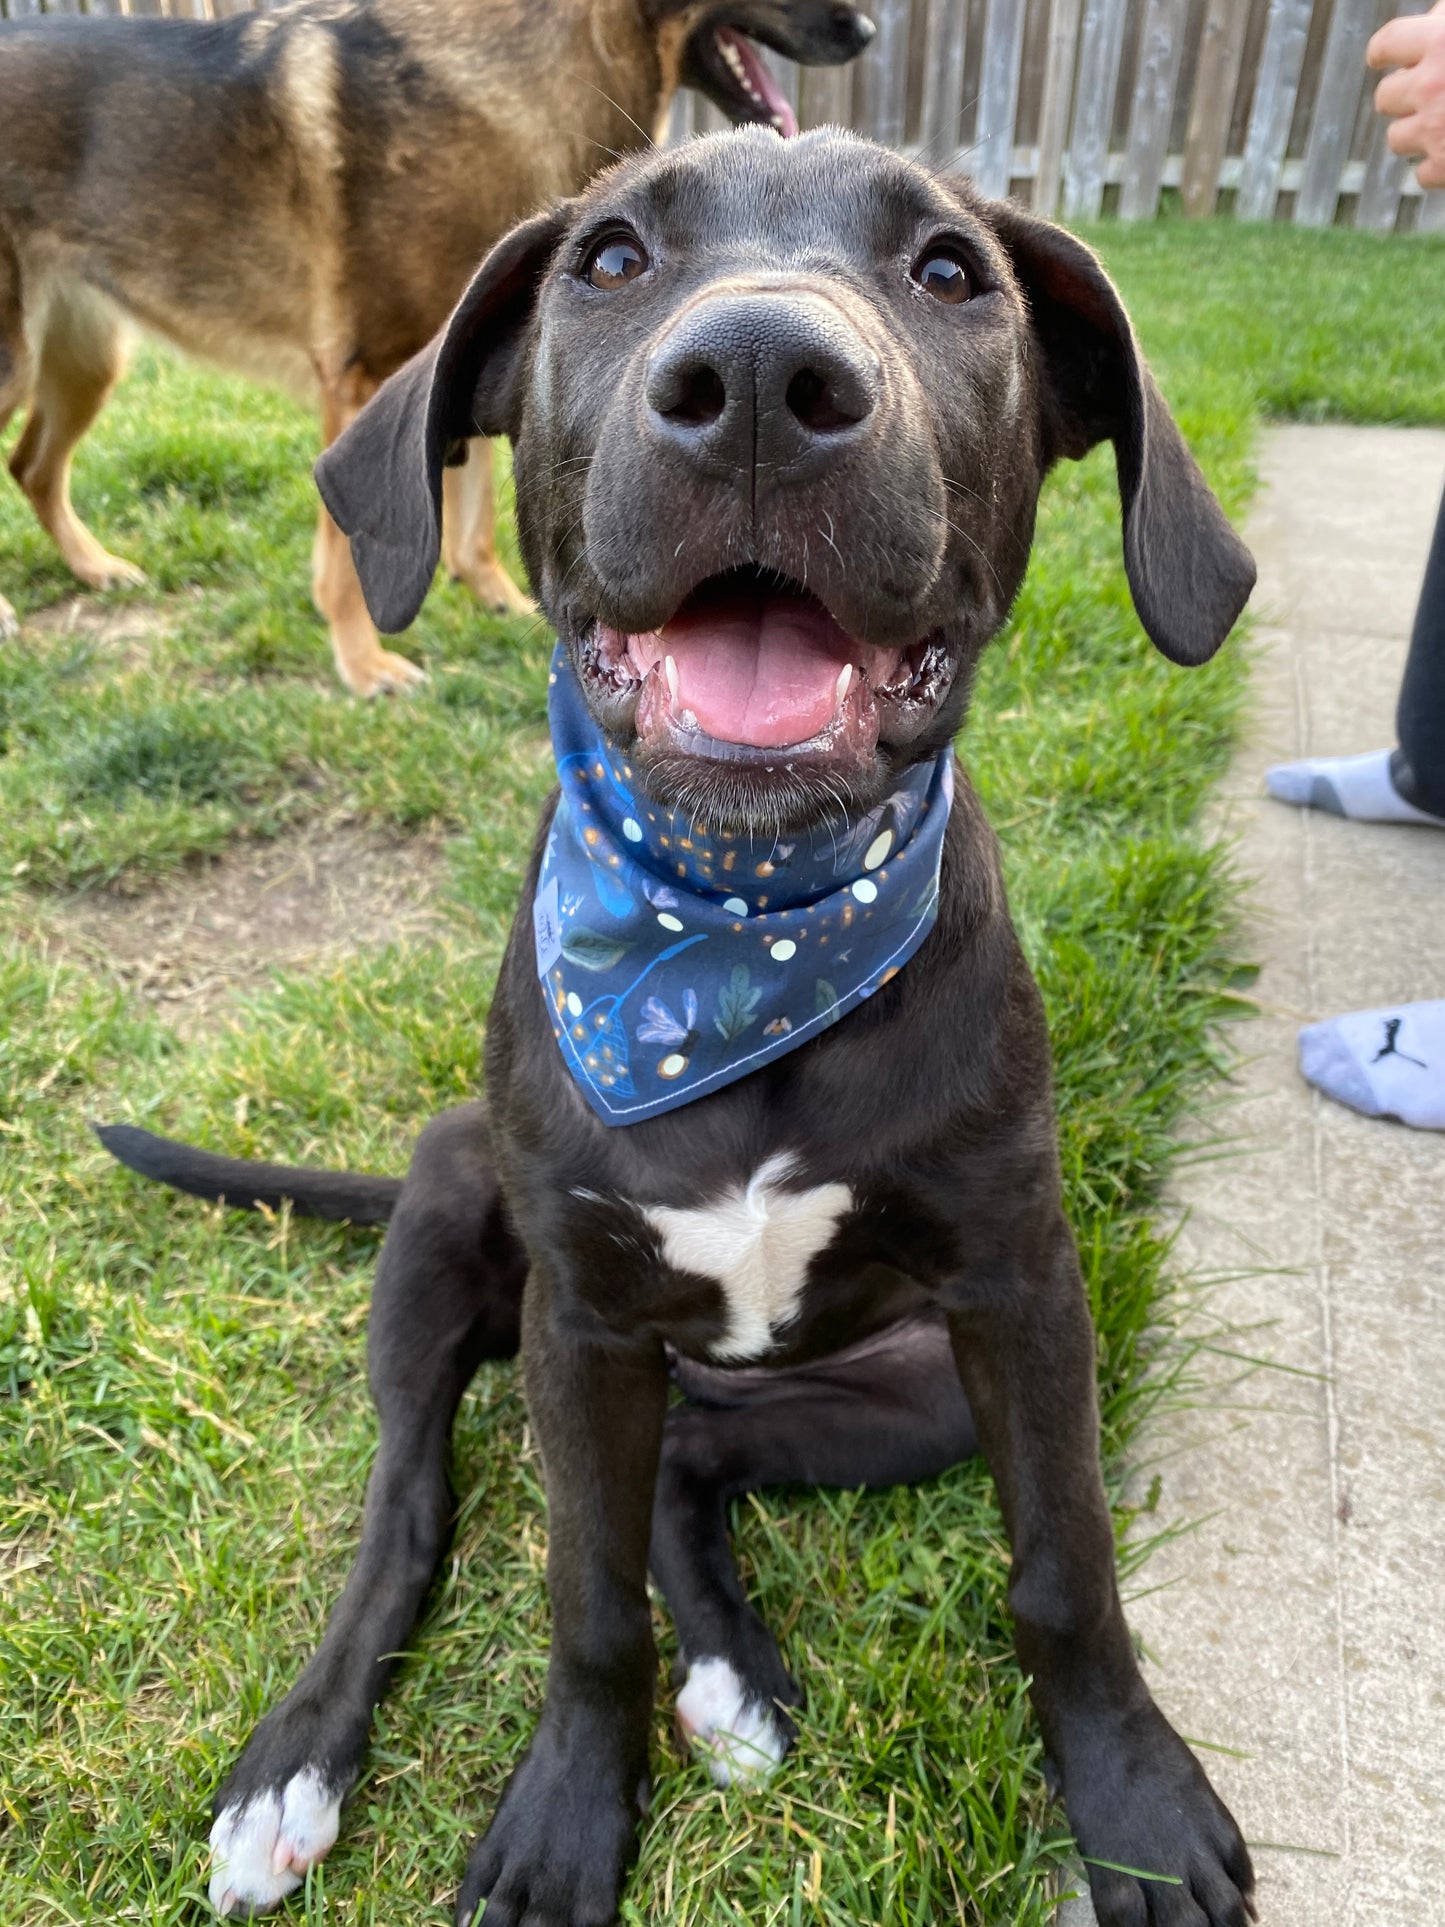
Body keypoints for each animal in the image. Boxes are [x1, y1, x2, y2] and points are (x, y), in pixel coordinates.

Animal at [0, 0, 870, 693]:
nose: (864, 30)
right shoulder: (362, 380)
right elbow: (346, 557)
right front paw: (363, 664)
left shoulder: (478, 358)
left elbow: (475, 503)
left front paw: (491, 593)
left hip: (87, 362)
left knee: (33, 466)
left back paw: (94, 566)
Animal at [99, 124, 1256, 1927]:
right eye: (613, 260)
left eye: (950, 272)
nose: (768, 376)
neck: (731, 942)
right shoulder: (579, 1315)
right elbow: (580, 1600)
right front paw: (569, 1812)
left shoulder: (1024, 1291)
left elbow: (1065, 1565)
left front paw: (1133, 1801)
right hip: (453, 1225)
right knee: (421, 1502)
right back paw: (296, 1761)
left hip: (895, 1387)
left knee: (689, 1466)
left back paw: (726, 1667)